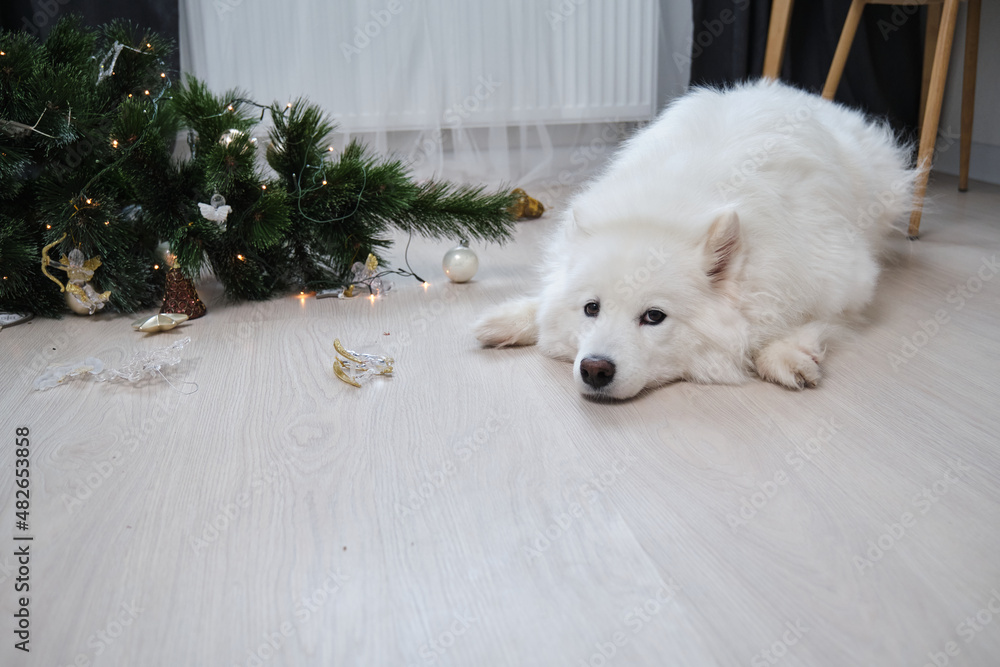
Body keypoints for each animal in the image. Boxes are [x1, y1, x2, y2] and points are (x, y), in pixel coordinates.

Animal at [472, 80, 916, 400]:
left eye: (654, 316)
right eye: (591, 308)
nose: (594, 368)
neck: (664, 208)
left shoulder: (847, 278)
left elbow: (813, 319)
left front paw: (783, 353)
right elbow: (546, 300)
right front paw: (514, 318)